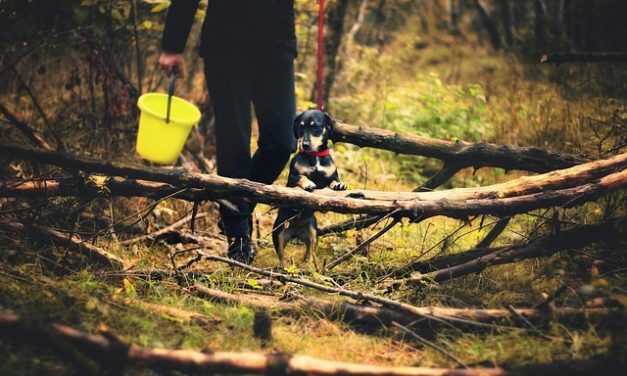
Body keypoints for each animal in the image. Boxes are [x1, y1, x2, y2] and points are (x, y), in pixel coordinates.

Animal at [272, 110, 348, 266]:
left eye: (315, 127)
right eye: (300, 127)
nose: (305, 144)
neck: (315, 156)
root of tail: (295, 233)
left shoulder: (331, 176)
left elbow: (333, 181)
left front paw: (339, 185)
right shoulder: (292, 179)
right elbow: (302, 177)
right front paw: (308, 183)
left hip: (313, 233)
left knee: (309, 252)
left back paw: (308, 264)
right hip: (278, 233)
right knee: (281, 255)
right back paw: (283, 267)